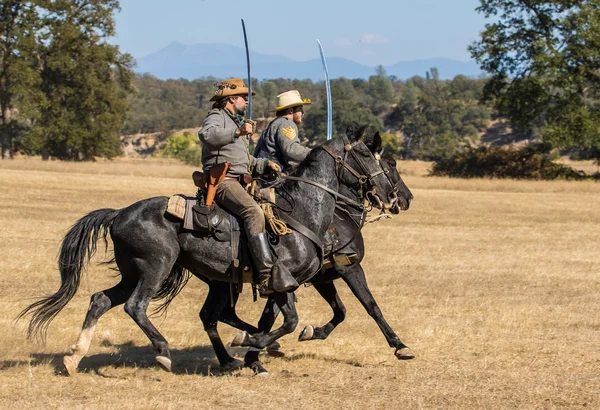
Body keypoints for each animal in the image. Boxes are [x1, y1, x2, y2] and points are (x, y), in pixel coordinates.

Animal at [19, 126, 408, 376]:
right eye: (371, 155)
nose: (400, 198)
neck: (305, 211)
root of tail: (119, 213)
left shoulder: (297, 281)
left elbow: (301, 317)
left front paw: (256, 349)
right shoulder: (320, 274)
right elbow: (345, 310)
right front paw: (400, 345)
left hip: (147, 273)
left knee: (104, 300)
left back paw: (74, 357)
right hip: (155, 268)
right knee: (136, 306)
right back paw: (164, 353)